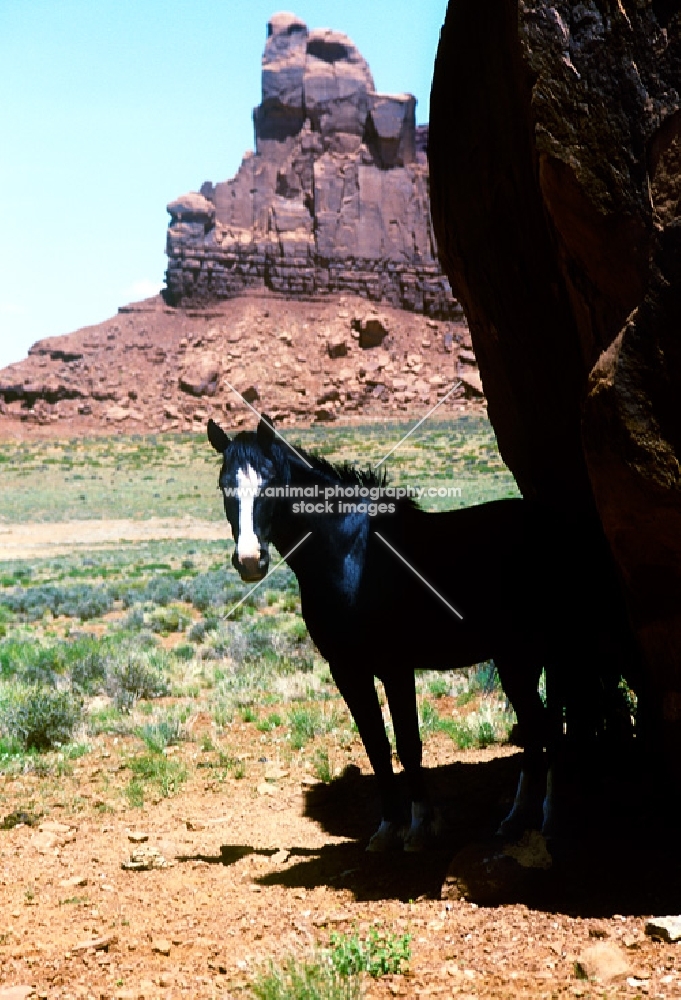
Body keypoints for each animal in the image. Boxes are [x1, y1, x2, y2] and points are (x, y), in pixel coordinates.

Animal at [209, 416, 632, 852]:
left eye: (271, 482)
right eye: (224, 485)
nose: (250, 561)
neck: (349, 553)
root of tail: (562, 530)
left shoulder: (395, 667)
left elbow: (408, 744)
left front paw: (420, 827)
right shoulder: (347, 669)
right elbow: (376, 746)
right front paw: (387, 829)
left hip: (554, 652)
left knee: (556, 729)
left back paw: (550, 819)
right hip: (519, 659)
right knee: (537, 729)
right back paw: (515, 820)